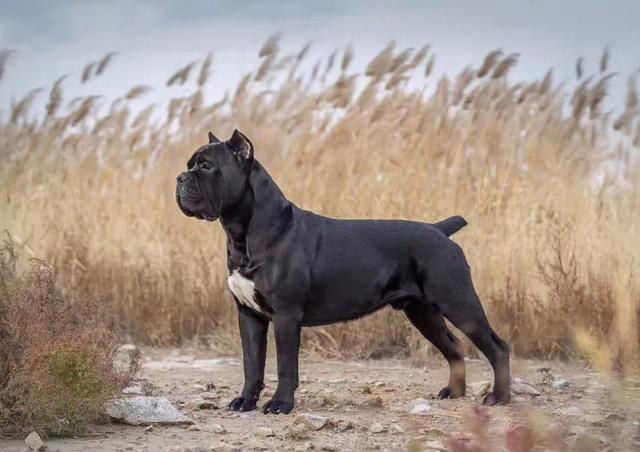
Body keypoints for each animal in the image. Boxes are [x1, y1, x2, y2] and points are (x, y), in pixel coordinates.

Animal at [178, 130, 512, 414]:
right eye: (189, 164)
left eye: (206, 166)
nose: (180, 178)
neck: (244, 233)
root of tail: (439, 230)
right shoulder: (249, 315)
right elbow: (251, 364)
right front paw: (245, 400)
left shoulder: (286, 315)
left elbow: (285, 366)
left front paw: (280, 404)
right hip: (423, 312)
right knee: (453, 347)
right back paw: (454, 391)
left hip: (459, 303)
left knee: (497, 347)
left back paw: (499, 397)